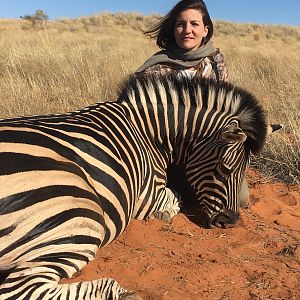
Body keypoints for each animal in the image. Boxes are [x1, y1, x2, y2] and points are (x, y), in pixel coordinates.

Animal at [0, 73, 278, 300]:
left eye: (245, 170)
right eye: (223, 168)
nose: (229, 222)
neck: (149, 133)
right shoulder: (147, 195)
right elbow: (175, 197)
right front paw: (165, 213)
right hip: (78, 215)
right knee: (19, 290)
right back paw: (120, 293)